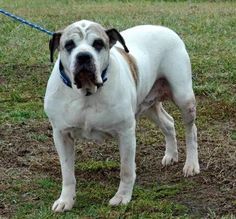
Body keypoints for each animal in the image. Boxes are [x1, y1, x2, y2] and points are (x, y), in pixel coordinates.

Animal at [43, 19, 199, 211]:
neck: (87, 93)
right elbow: (67, 173)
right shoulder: (61, 134)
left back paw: (191, 164)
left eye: (98, 44)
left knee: (191, 131)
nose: (84, 56)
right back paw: (171, 155)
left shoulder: (125, 133)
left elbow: (126, 169)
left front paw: (122, 197)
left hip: (184, 97)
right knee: (168, 123)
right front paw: (66, 200)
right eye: (69, 45)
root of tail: (165, 29)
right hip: (148, 105)